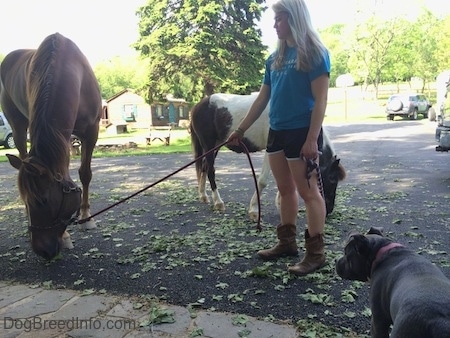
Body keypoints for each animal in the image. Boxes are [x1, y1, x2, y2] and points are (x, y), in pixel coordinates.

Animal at [0, 33, 101, 258]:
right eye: (28, 200)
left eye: (44, 201)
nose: (42, 251)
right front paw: (66, 237)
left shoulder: (91, 132)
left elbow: (85, 174)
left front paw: (86, 217)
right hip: (18, 127)